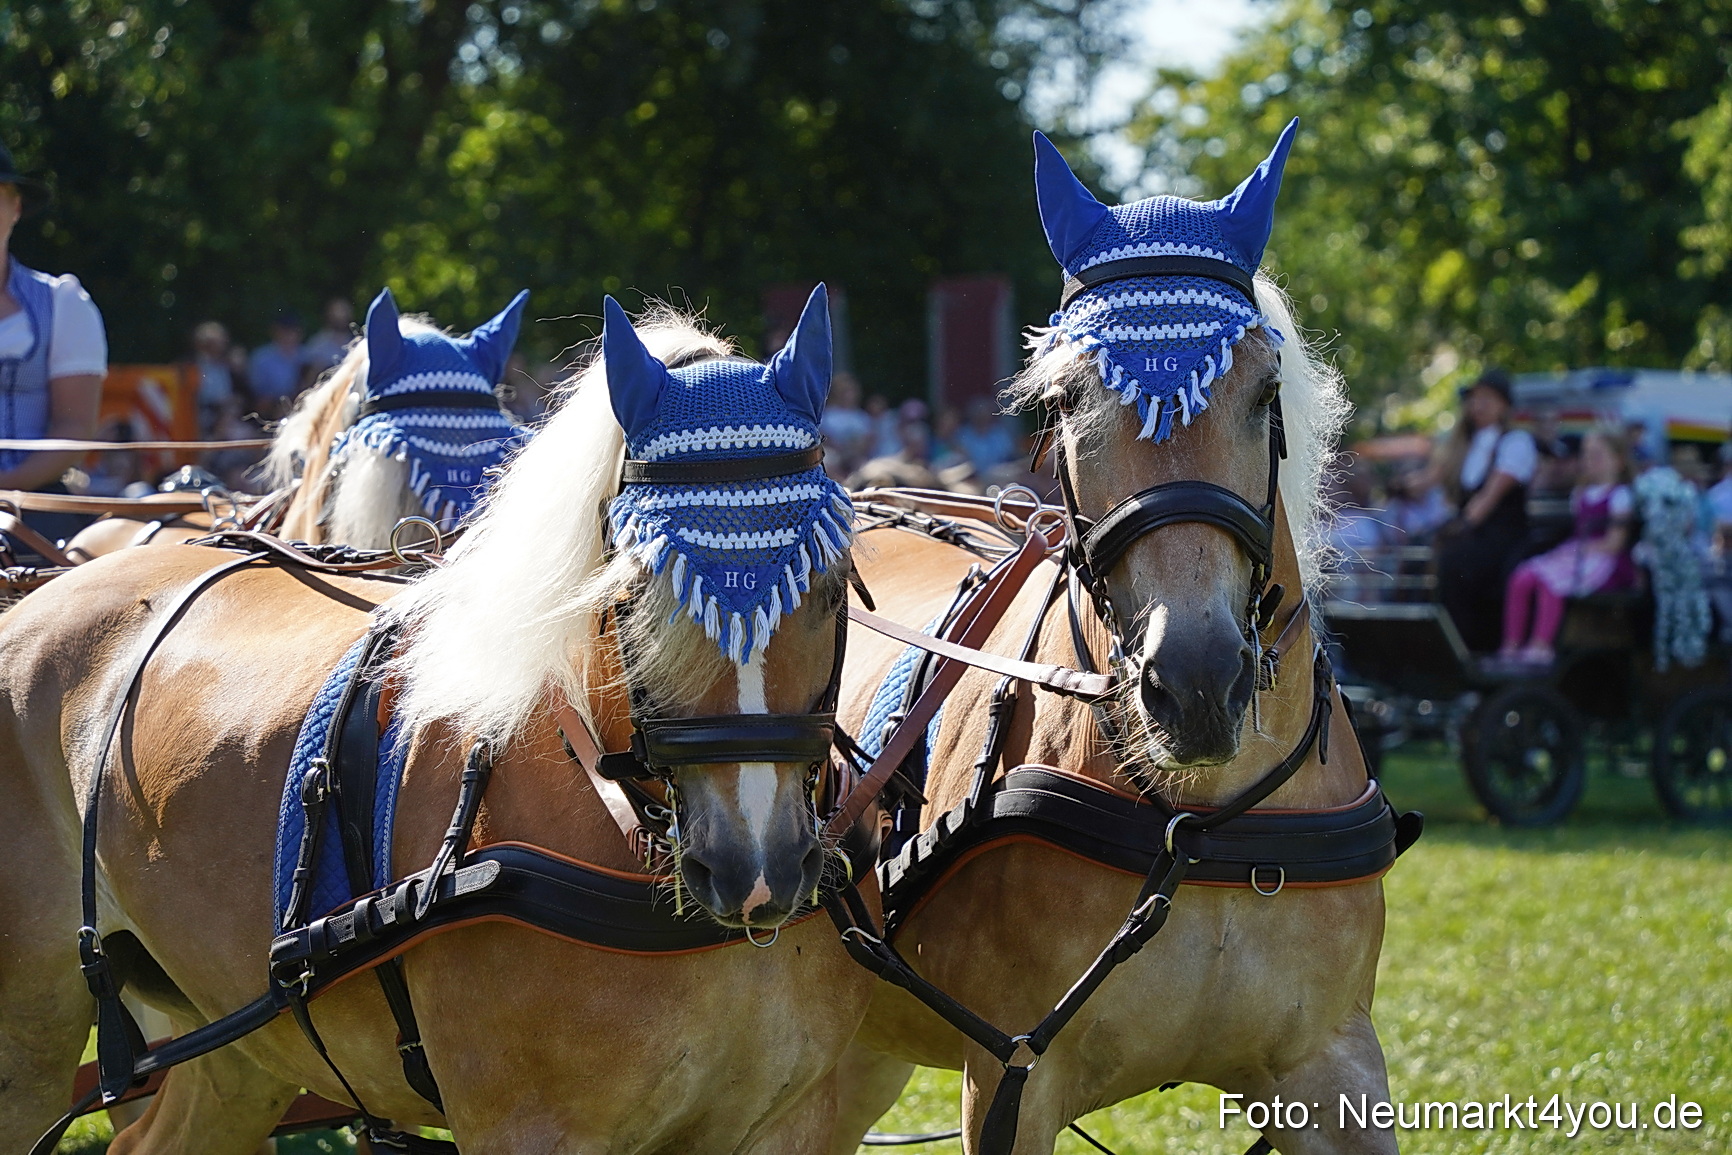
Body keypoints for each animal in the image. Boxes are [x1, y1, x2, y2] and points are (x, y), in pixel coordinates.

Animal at [0, 290, 876, 1154]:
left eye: (831, 581)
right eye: (632, 588)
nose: (756, 867)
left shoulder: (791, 1122)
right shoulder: (525, 1127)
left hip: (237, 1028)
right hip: (32, 1036)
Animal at [827, 126, 1407, 1154]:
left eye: (1265, 392)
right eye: (1064, 401)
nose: (1199, 683)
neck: (1201, 824)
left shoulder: (1334, 1066)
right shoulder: (1013, 1077)